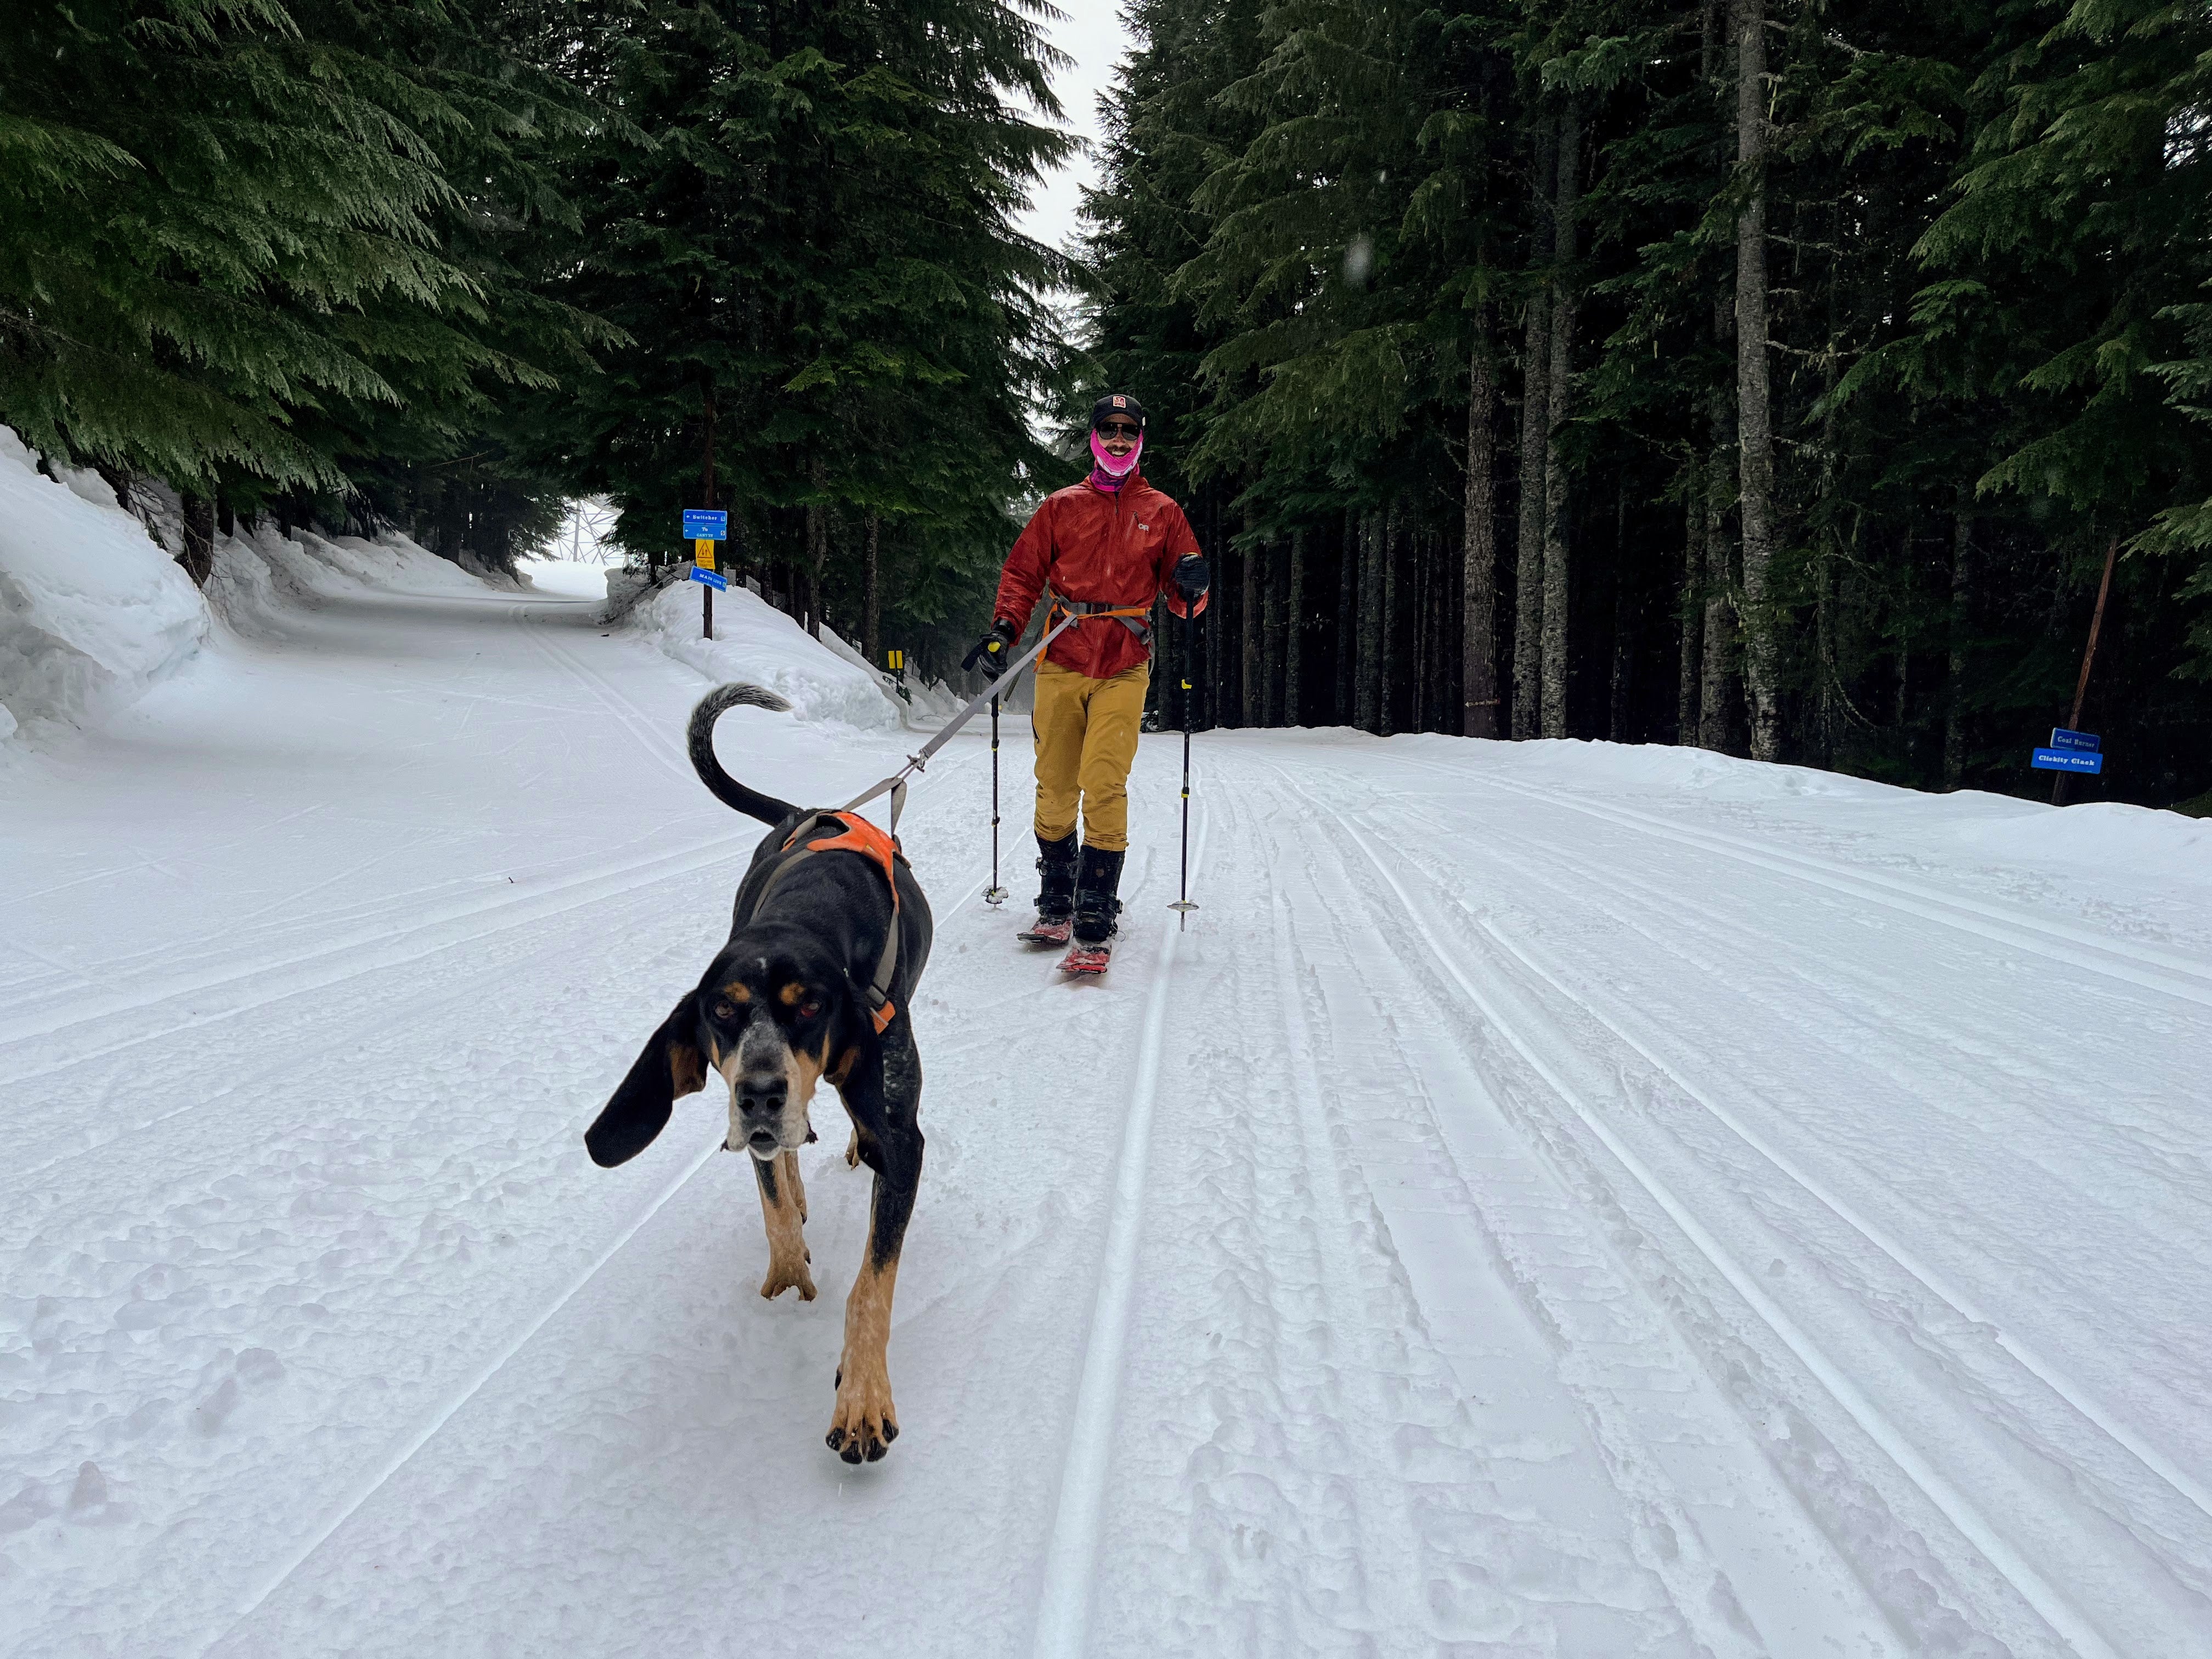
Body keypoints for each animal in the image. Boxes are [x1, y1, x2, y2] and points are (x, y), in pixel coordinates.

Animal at [584, 681, 929, 1460]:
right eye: (722, 1011)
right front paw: (787, 1277)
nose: (760, 1095)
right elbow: (774, 1211)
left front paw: (862, 1396)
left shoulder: (904, 1139)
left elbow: (872, 1283)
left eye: (810, 1007)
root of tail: (805, 813)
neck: (807, 916)